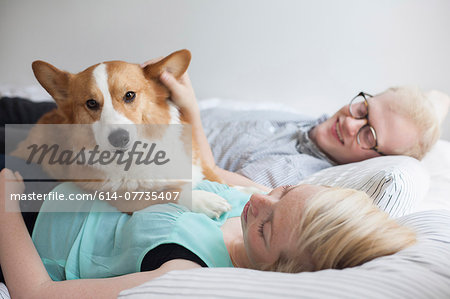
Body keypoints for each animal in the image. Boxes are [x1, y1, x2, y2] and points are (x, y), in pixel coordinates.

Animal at [13, 49, 232, 218]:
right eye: (91, 103)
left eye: (129, 95)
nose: (119, 138)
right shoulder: (124, 200)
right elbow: (168, 193)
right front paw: (204, 199)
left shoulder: (199, 167)